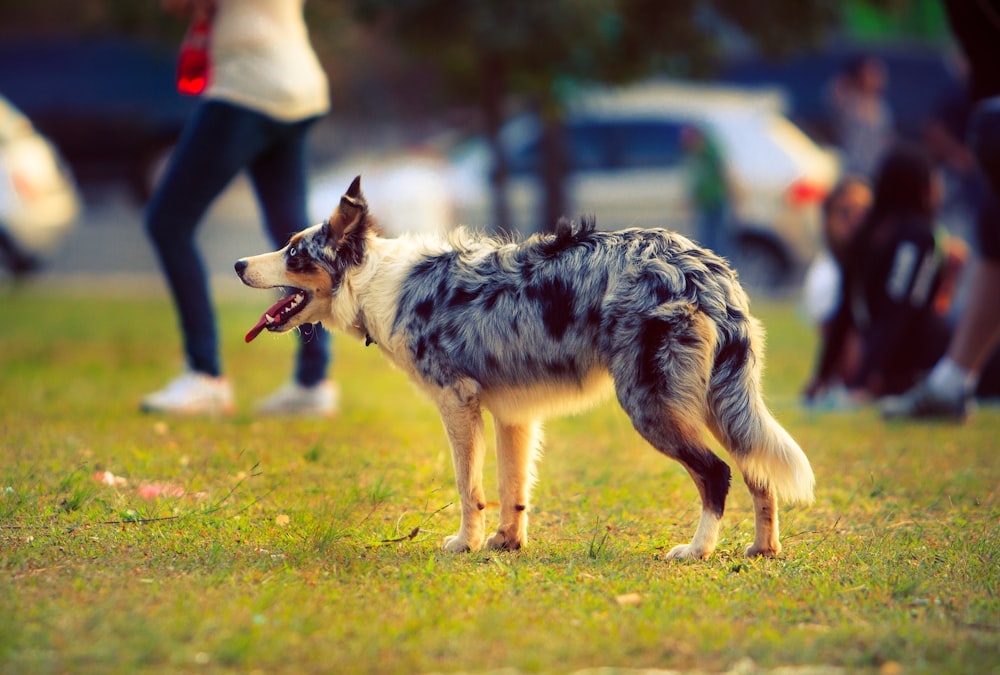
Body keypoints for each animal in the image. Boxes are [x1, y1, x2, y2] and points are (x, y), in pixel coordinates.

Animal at [234, 177, 812, 564]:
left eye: (293, 252)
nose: (238, 265)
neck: (375, 280)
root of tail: (705, 270)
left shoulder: (457, 403)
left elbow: (469, 485)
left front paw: (465, 543)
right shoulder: (513, 415)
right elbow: (512, 486)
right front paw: (507, 543)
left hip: (652, 405)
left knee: (716, 473)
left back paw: (696, 550)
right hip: (718, 401)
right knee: (759, 472)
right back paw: (763, 549)